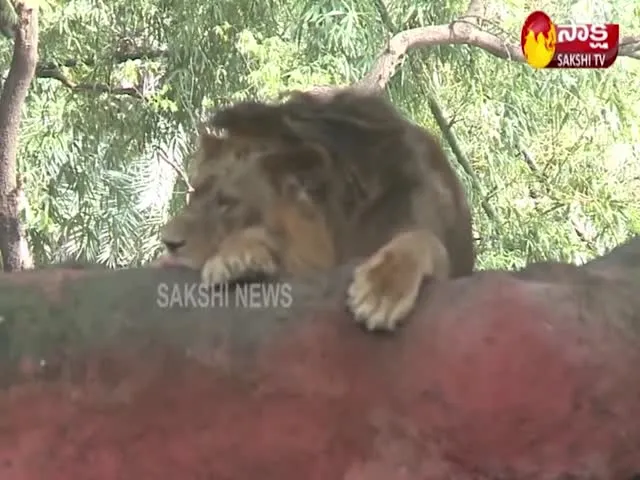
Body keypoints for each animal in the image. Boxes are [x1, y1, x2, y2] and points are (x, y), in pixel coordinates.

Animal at [156, 88, 476, 332]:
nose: (167, 242)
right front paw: (237, 256)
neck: (350, 220)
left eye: (228, 202)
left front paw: (380, 291)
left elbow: (419, 239)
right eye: (194, 193)